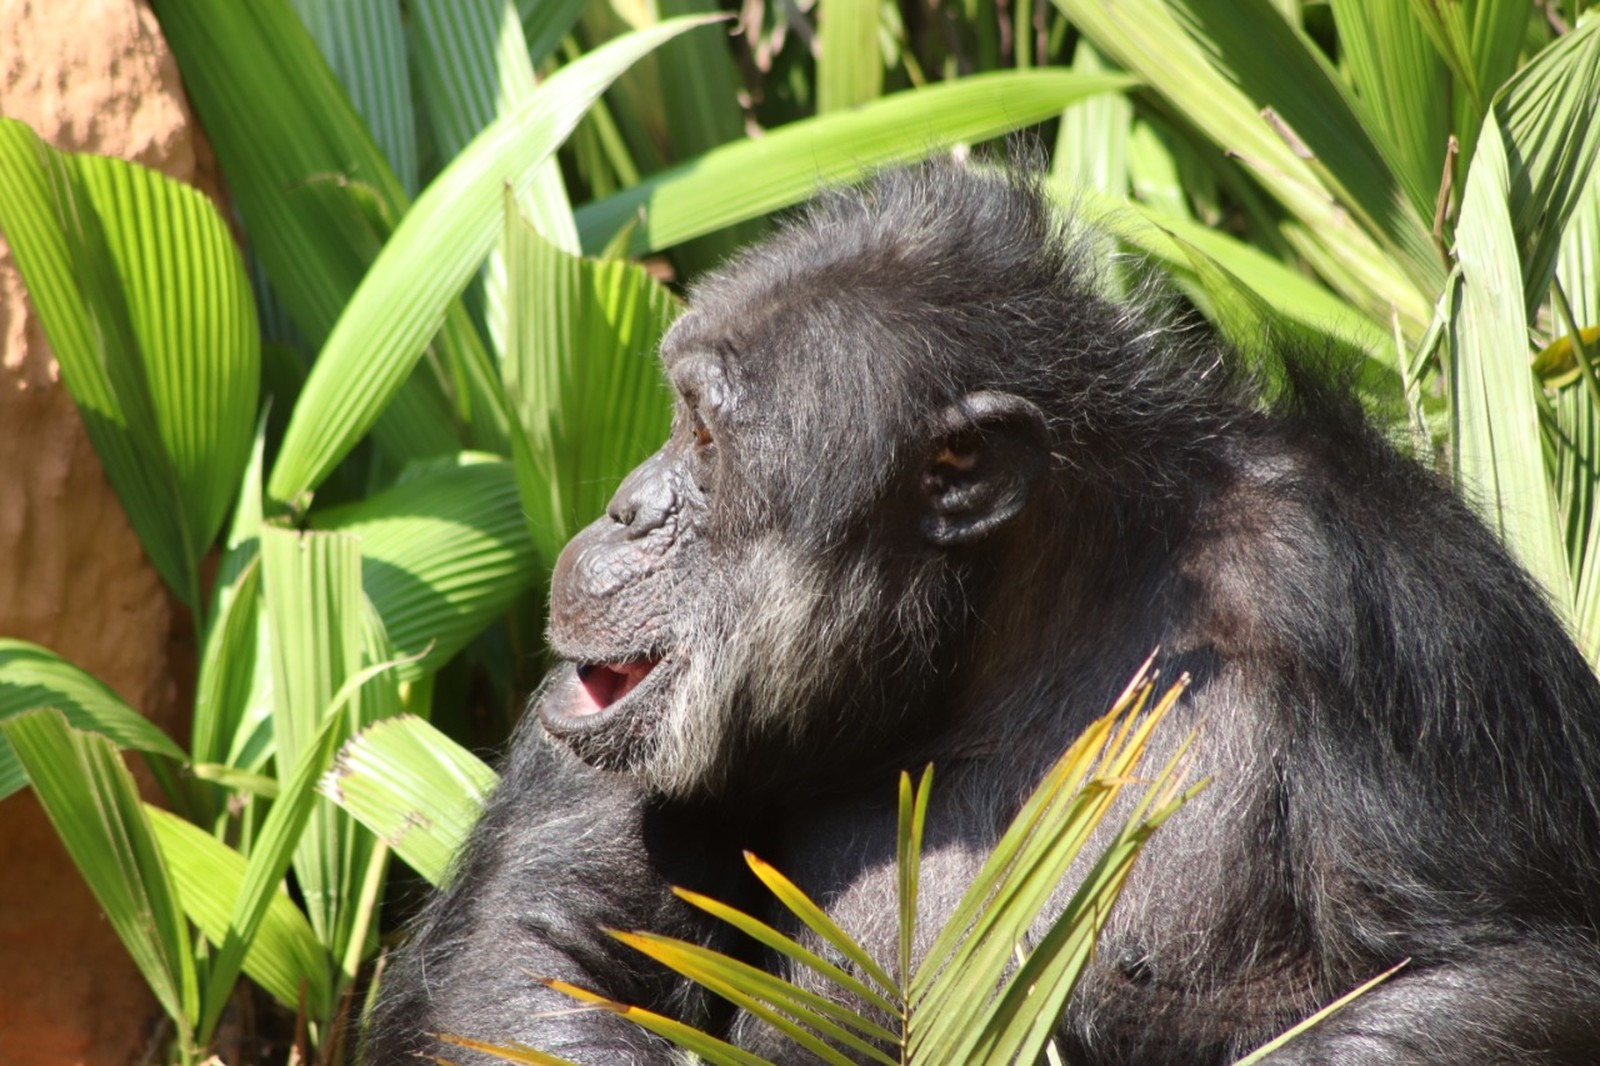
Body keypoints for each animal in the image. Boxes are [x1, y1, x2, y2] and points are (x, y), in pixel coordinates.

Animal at [360, 160, 1600, 1062]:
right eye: (676, 412)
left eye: (703, 436)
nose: (627, 507)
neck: (1013, 633)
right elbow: (542, 948)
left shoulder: (1393, 612)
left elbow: (1512, 967)